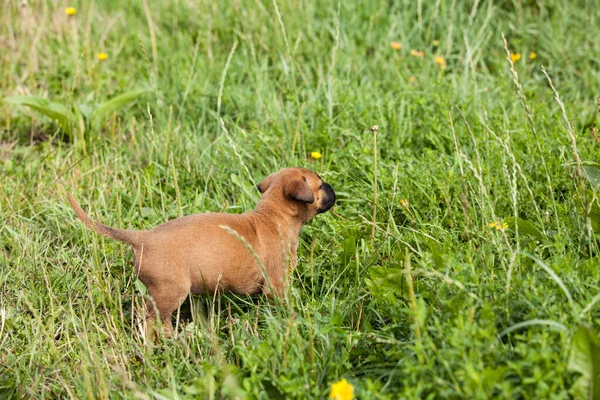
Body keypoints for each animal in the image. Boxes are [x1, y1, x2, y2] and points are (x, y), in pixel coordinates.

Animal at [69, 167, 338, 336]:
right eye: (320, 185)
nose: (333, 189)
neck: (273, 217)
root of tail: (142, 238)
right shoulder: (276, 284)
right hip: (170, 292)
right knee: (151, 319)